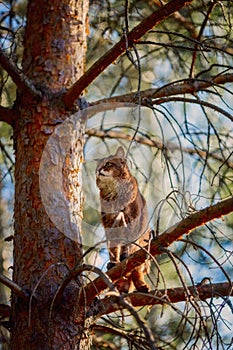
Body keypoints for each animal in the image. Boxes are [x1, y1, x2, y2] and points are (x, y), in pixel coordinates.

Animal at [95, 146, 150, 292]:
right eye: (98, 166)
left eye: (108, 164)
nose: (99, 170)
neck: (114, 193)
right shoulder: (110, 225)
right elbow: (113, 248)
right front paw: (114, 263)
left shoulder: (131, 222)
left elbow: (127, 244)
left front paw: (125, 256)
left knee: (137, 271)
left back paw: (142, 286)